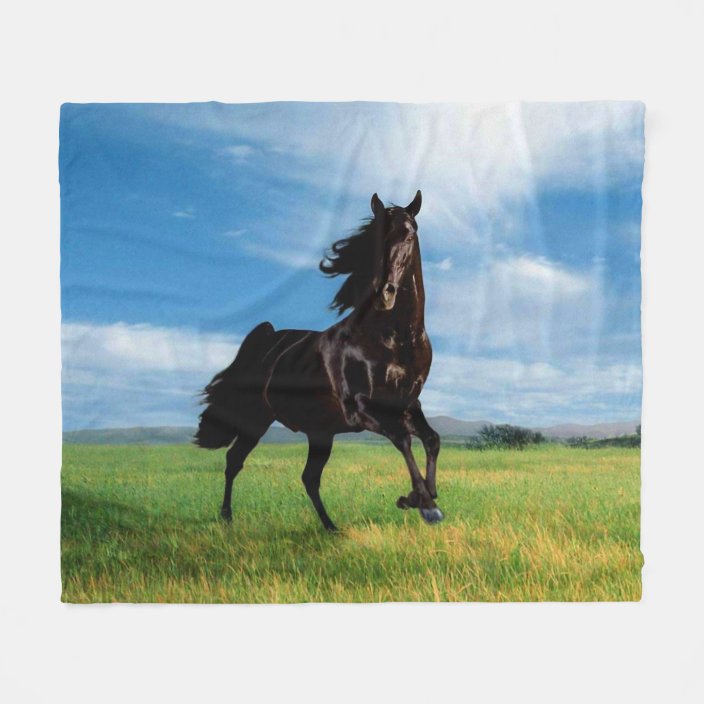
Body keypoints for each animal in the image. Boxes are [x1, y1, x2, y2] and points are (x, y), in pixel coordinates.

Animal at [194, 190, 443, 530]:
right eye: (375, 239)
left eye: (409, 235)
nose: (385, 293)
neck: (396, 340)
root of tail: (268, 340)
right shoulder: (363, 408)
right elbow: (403, 440)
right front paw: (422, 503)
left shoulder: (408, 404)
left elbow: (432, 439)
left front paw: (426, 495)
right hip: (255, 418)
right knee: (235, 461)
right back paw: (227, 517)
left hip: (320, 432)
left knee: (308, 478)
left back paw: (331, 527)